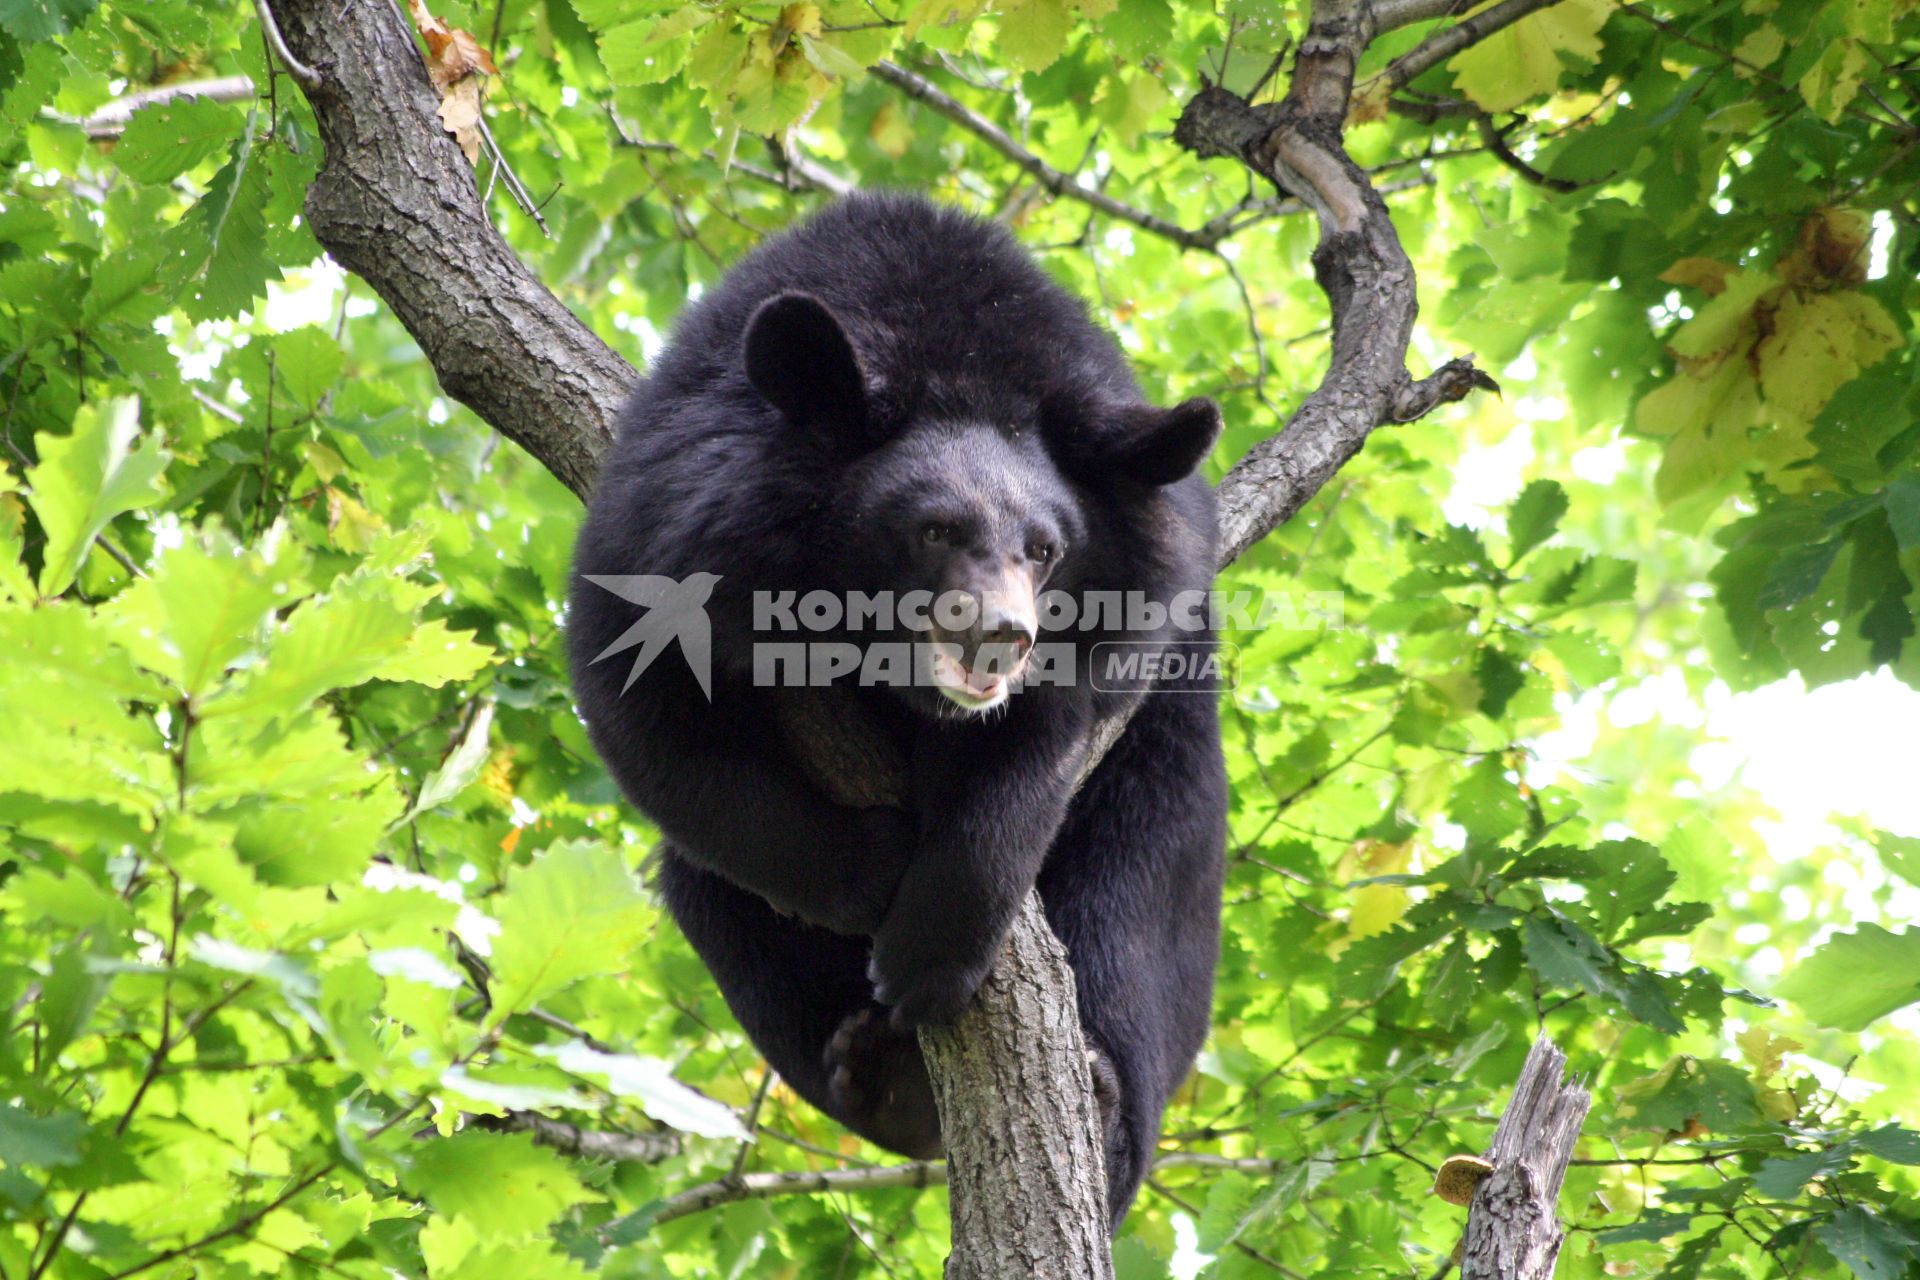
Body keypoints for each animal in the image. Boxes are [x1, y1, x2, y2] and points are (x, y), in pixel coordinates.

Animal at [568, 192, 1228, 1228]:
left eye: (1045, 548)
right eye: (934, 529)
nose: (1002, 637)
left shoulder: (1122, 622)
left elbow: (1037, 759)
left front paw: (928, 951)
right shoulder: (673, 522)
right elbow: (656, 721)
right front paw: (875, 870)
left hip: (1168, 798)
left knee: (1141, 903)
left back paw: (1094, 1096)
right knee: (712, 894)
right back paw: (882, 1075)